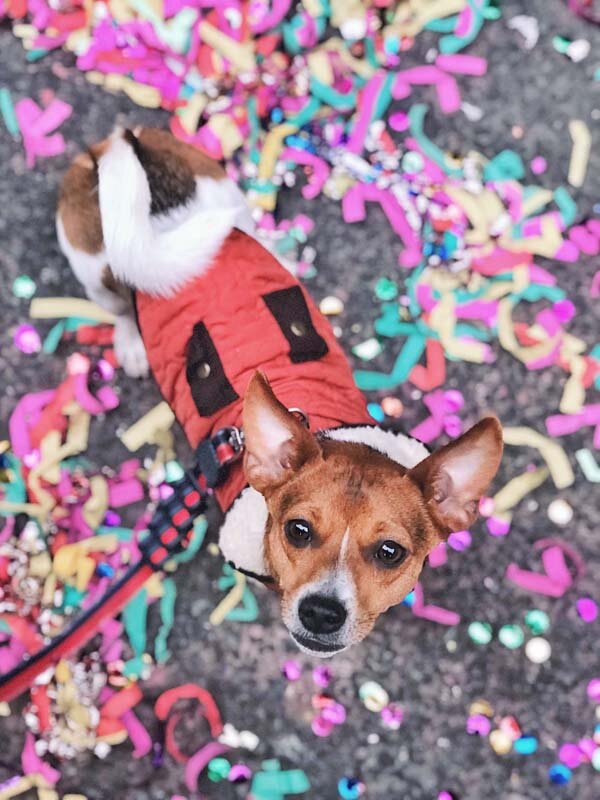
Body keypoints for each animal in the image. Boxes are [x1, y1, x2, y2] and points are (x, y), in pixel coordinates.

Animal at [58, 128, 504, 656]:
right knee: (119, 303)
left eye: (390, 552)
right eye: (299, 531)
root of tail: (127, 141)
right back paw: (130, 341)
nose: (322, 611)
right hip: (93, 267)